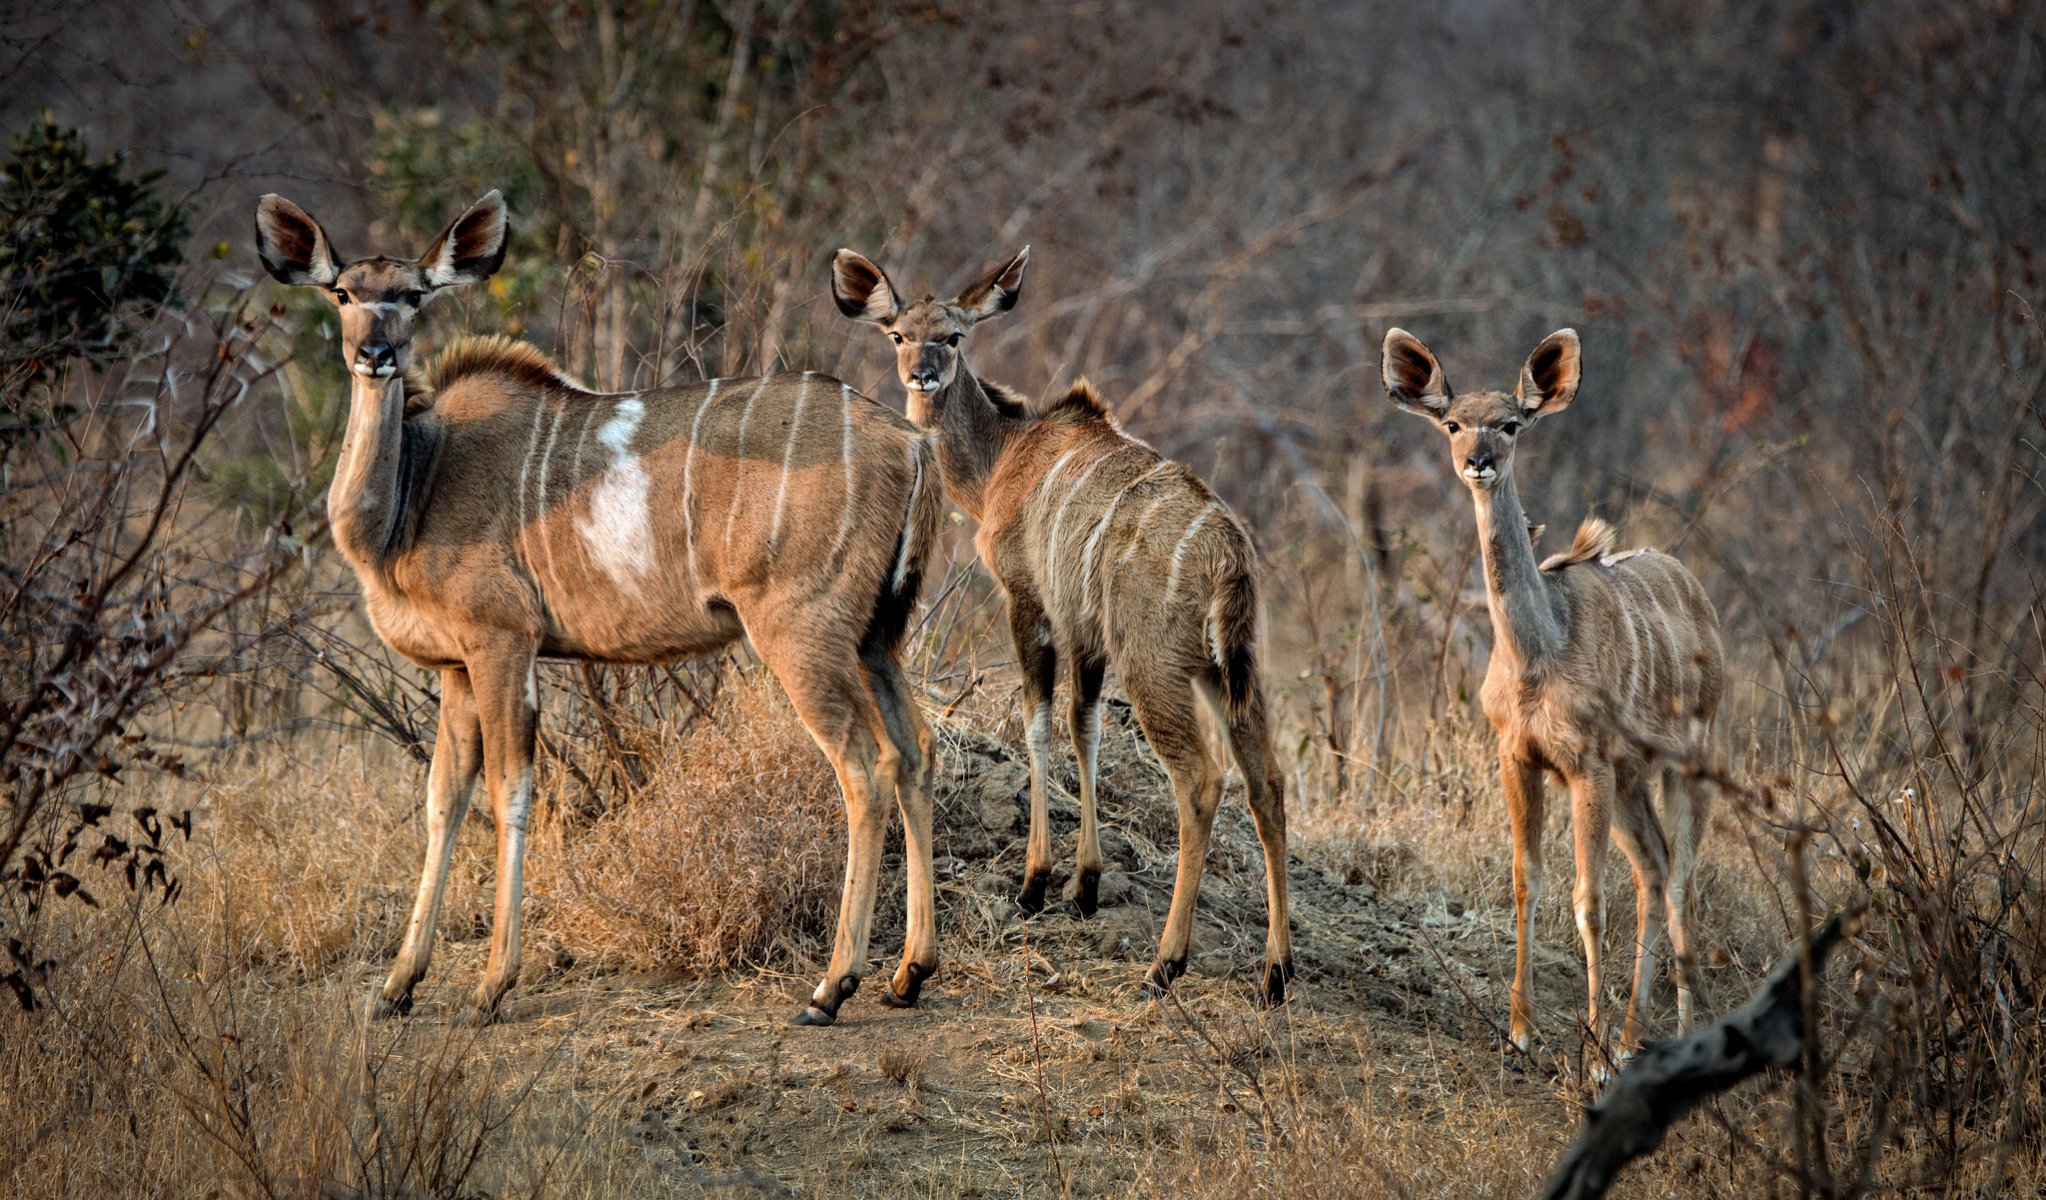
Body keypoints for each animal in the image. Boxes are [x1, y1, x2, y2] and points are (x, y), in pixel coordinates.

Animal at [257, 192, 949, 1030]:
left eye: (414, 296)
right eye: (342, 293)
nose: (376, 353)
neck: (416, 489)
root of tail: (910, 441)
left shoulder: (502, 643)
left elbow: (512, 791)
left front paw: (492, 984)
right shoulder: (457, 667)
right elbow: (442, 800)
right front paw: (396, 985)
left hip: (801, 631)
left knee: (864, 764)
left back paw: (831, 987)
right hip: (877, 636)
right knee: (917, 751)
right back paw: (909, 973)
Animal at [830, 246, 1293, 1005]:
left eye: (954, 336)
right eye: (897, 334)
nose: (922, 373)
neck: (1001, 462)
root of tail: (1228, 555)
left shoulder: (1030, 601)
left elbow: (1039, 723)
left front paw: (1036, 883)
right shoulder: (1087, 634)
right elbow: (1086, 727)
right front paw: (1085, 885)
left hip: (1157, 666)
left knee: (1201, 783)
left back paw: (1165, 965)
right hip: (1233, 670)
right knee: (1269, 785)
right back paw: (1276, 973)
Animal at [1383, 327, 1718, 1054]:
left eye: (1511, 424)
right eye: (1452, 424)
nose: (1478, 462)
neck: (1539, 655)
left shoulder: (1587, 762)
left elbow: (1588, 899)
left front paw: (1592, 1054)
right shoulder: (1519, 756)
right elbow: (1526, 881)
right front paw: (1522, 1031)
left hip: (1687, 763)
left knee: (1679, 876)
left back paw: (1675, 1031)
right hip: (1630, 781)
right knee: (1653, 867)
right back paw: (1632, 1033)